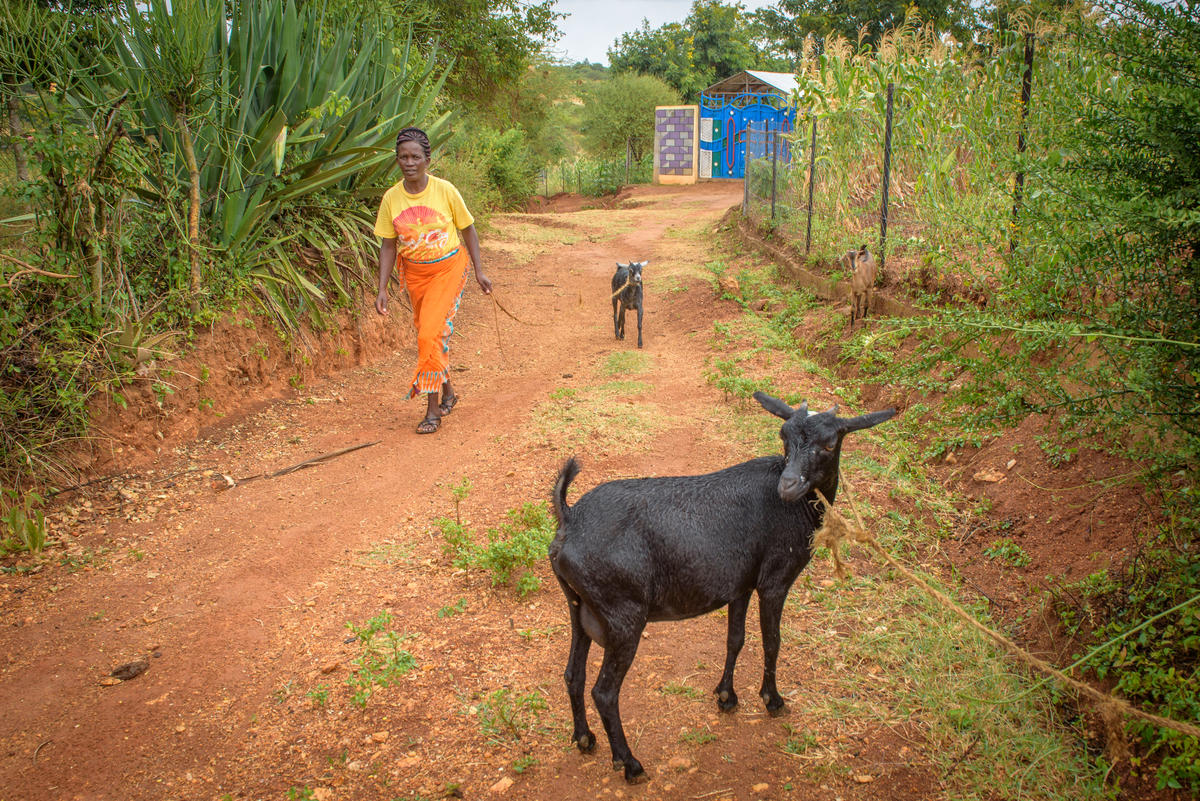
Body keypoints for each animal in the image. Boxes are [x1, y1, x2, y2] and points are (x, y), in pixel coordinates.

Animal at [549, 393, 897, 781]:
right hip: (624, 615)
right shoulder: (774, 581)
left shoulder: (739, 585)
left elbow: (735, 639)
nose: (788, 485)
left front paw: (726, 696)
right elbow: (772, 641)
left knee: (573, 675)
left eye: (830, 442)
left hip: (580, 608)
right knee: (605, 693)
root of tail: (569, 520)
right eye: (784, 437)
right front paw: (772, 700)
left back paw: (584, 738)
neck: (796, 510)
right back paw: (630, 763)